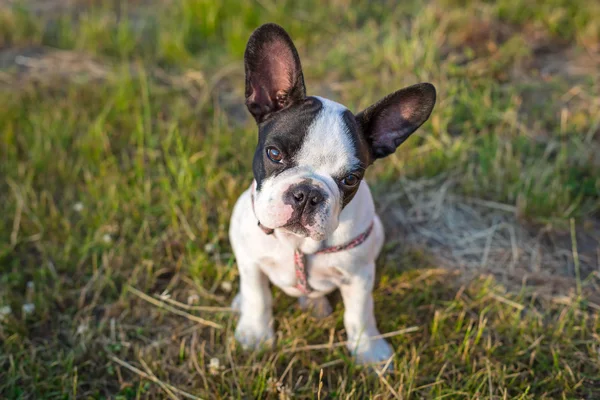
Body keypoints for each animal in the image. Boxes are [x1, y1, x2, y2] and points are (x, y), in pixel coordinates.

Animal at [230, 23, 436, 368]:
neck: (297, 244)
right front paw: (255, 334)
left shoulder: (358, 276)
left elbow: (360, 314)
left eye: (350, 179)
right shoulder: (250, 259)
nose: (307, 193)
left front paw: (368, 350)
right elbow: (258, 295)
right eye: (274, 154)